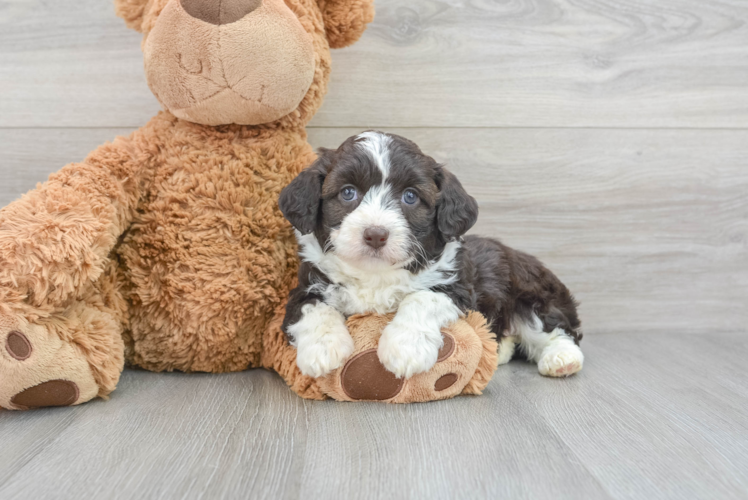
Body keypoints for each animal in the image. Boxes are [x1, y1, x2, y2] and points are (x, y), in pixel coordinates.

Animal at [280, 131, 584, 376]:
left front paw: (405, 348)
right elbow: (313, 309)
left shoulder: (456, 288)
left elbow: (420, 298)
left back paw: (562, 358)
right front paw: (322, 349)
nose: (375, 234)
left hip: (533, 296)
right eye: (347, 193)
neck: (376, 274)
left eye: (410, 196)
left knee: (554, 329)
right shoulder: (306, 286)